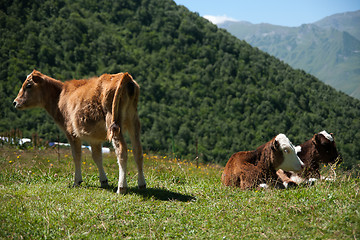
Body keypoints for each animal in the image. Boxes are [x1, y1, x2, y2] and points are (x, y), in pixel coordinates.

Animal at [13, 69, 146, 193]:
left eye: (28, 85)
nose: (15, 102)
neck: (59, 96)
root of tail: (124, 76)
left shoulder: (71, 132)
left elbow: (76, 156)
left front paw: (77, 181)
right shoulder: (94, 137)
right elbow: (97, 157)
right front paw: (103, 180)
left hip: (112, 122)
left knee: (122, 151)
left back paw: (121, 187)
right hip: (134, 121)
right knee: (137, 151)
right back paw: (142, 184)